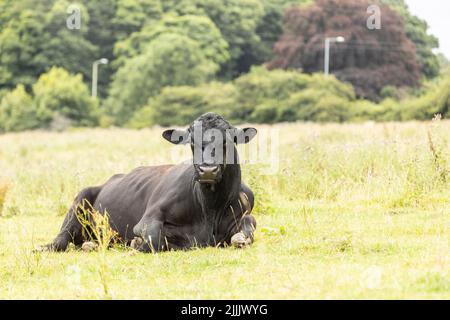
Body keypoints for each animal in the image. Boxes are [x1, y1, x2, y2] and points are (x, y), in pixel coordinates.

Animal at [46, 114, 256, 251]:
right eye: (191, 142)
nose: (208, 170)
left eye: (227, 140)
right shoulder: (148, 218)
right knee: (62, 239)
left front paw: (241, 238)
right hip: (79, 200)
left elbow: (249, 225)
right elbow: (154, 237)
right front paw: (137, 243)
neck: (209, 208)